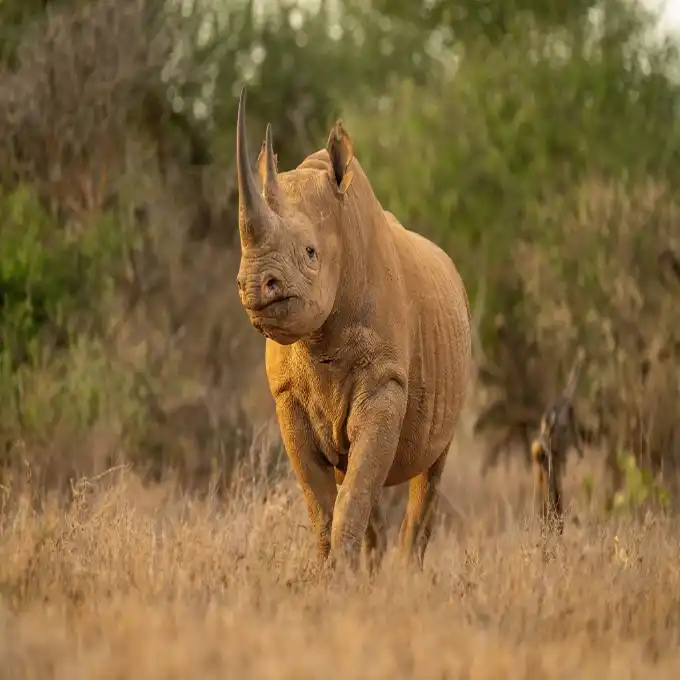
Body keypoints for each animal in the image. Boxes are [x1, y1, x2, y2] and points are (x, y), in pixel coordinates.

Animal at [234, 88, 472, 570]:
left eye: (310, 252)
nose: (253, 284)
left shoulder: (385, 382)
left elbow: (355, 492)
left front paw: (342, 576)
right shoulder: (287, 396)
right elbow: (323, 503)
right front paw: (334, 575)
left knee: (430, 472)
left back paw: (406, 576)